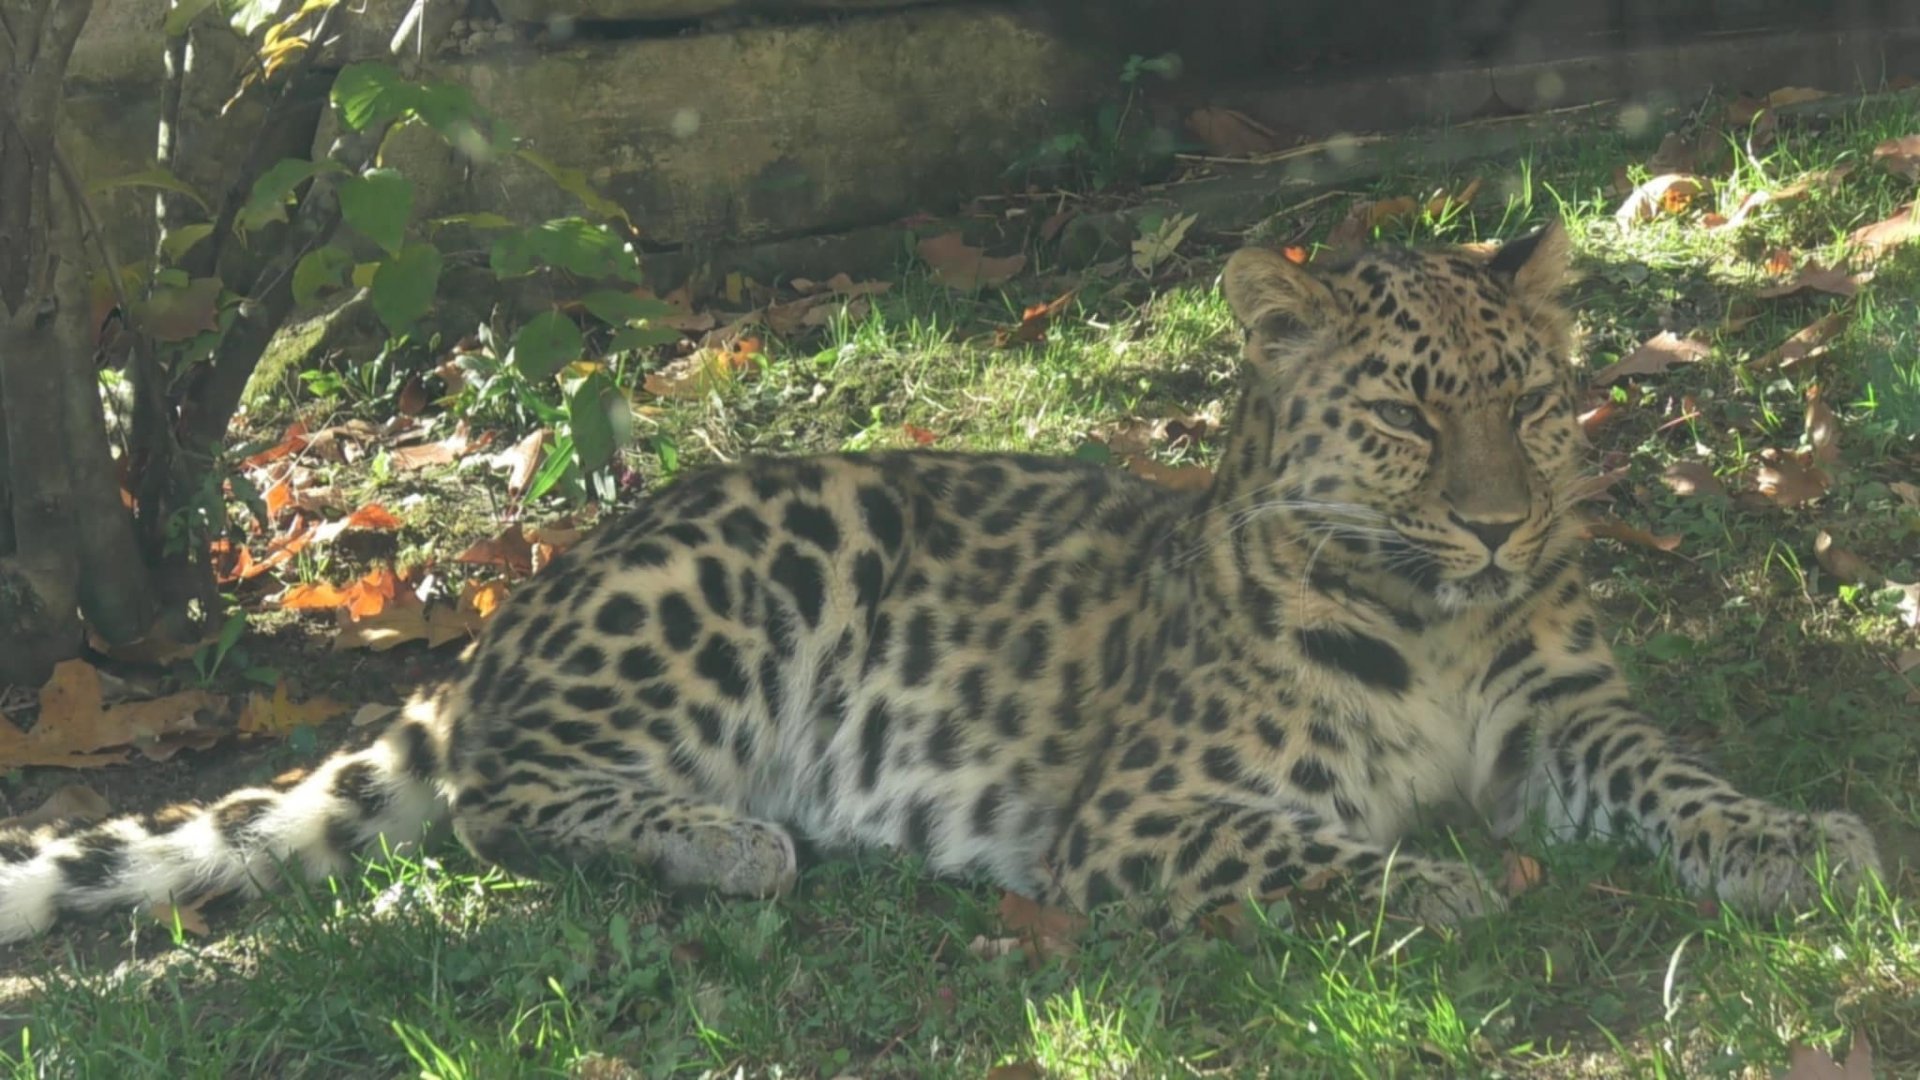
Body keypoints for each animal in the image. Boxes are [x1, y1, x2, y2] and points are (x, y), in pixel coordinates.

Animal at [0, 221, 1882, 944]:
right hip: (754, 565)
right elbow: (1313, 853)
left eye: (1533, 403)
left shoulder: (1564, 724)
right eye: (1412, 419)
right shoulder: (1147, 812)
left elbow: (1680, 782)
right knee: (492, 796)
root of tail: (503, 621)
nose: (1501, 527)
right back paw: (734, 840)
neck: (1434, 627)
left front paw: (1802, 839)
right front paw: (1437, 889)